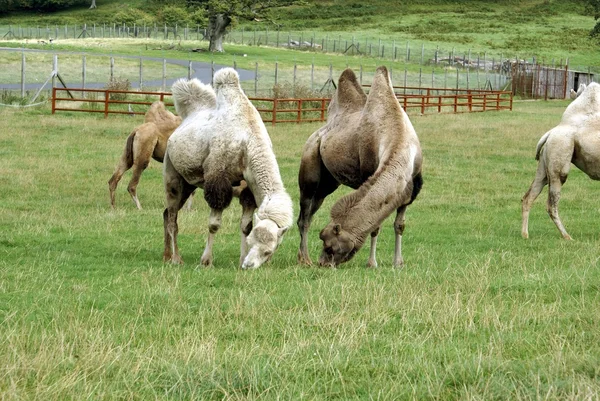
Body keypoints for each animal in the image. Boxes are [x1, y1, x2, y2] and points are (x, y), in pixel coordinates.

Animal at [163, 69, 294, 268]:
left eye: (269, 250)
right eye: (253, 243)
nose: (249, 265)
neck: (248, 143)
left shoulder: (249, 188)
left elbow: (245, 225)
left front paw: (241, 259)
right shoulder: (218, 182)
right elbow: (214, 224)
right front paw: (206, 260)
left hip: (188, 184)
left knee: (166, 213)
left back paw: (167, 255)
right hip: (172, 174)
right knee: (172, 217)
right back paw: (177, 258)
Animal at [298, 65, 424, 268]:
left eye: (330, 247)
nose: (323, 263)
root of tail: (316, 136)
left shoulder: (410, 189)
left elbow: (399, 225)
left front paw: (398, 263)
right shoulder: (369, 170)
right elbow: (375, 227)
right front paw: (372, 263)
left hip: (328, 183)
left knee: (311, 212)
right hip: (310, 163)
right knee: (304, 216)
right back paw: (304, 259)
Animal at [520, 79, 600, 239]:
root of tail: (551, 133)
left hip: (545, 163)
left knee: (528, 196)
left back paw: (525, 234)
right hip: (559, 155)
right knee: (551, 204)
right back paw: (567, 236)